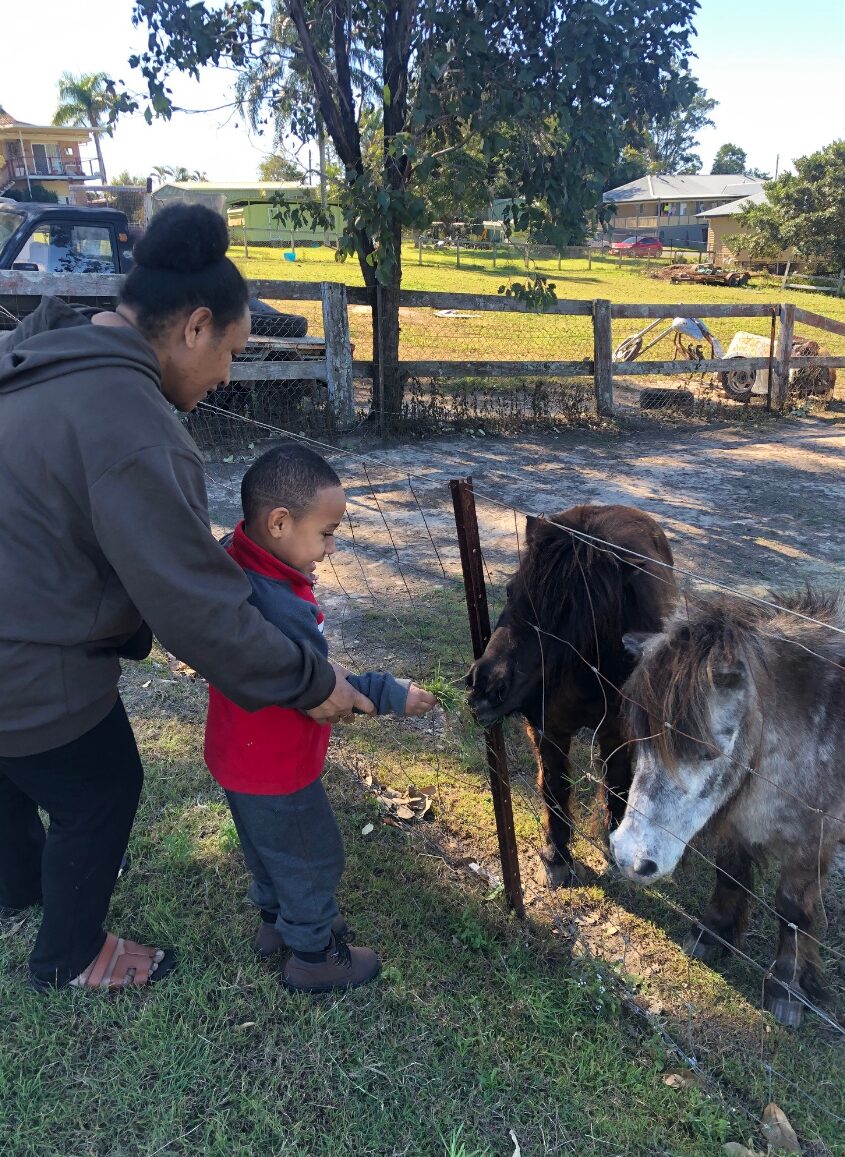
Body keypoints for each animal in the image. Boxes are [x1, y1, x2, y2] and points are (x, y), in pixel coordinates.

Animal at [463, 502, 676, 879]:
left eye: (571, 615)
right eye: (511, 591)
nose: (485, 688)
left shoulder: (616, 732)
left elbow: (617, 783)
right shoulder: (548, 728)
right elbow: (554, 786)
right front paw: (558, 853)